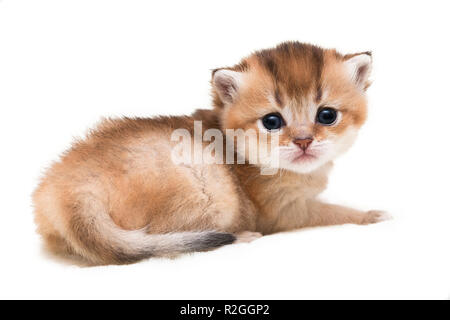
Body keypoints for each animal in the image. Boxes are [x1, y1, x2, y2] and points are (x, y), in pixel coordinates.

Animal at [32, 40, 390, 264]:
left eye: (327, 115)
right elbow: (333, 211)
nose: (303, 141)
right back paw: (239, 236)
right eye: (272, 121)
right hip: (211, 190)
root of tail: (72, 190)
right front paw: (369, 215)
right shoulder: (286, 212)